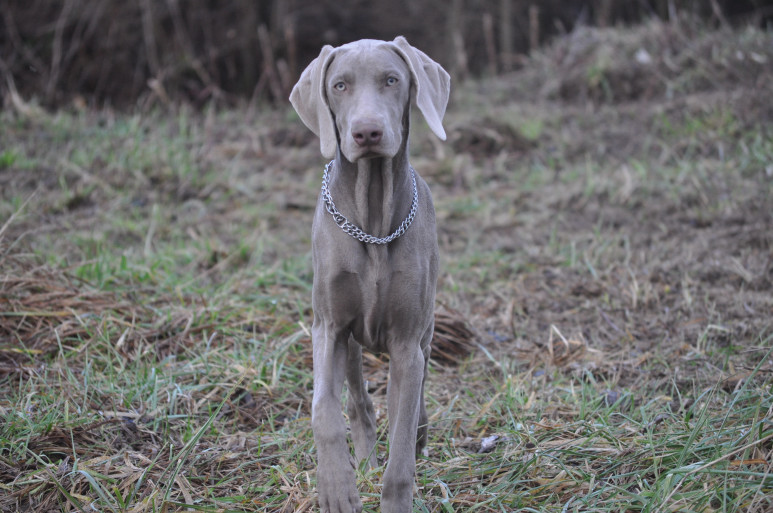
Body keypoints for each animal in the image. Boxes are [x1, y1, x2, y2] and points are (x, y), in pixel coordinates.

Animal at [288, 37, 446, 512]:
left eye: (391, 80)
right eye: (339, 85)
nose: (367, 132)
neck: (372, 218)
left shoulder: (407, 343)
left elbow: (401, 445)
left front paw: (395, 497)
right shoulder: (328, 326)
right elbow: (323, 410)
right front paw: (337, 487)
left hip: (425, 332)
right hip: (352, 341)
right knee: (357, 400)